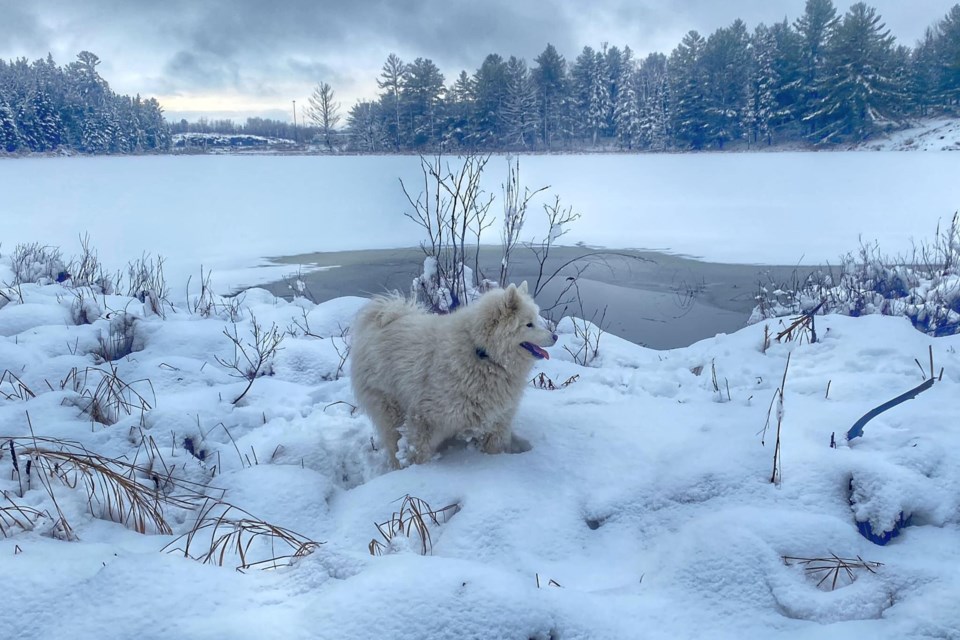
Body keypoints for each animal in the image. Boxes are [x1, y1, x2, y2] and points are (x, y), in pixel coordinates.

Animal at [350, 282, 560, 468]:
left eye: (536, 319)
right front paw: (419, 471)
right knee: (393, 442)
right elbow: (419, 452)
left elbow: (492, 448)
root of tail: (381, 319)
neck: (484, 354)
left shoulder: (496, 419)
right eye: (529, 324)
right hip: (390, 407)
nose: (555, 336)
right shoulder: (424, 418)